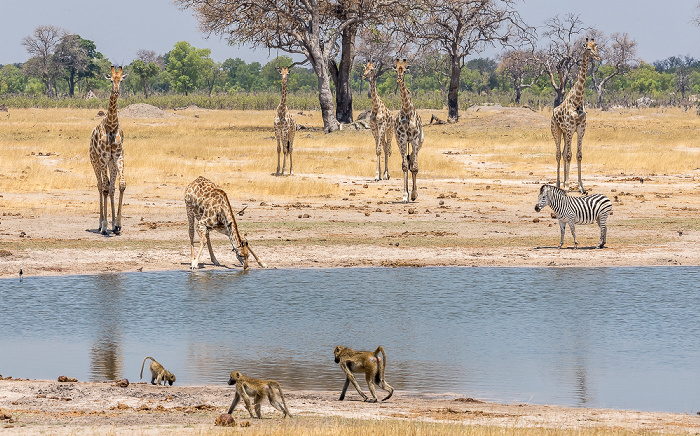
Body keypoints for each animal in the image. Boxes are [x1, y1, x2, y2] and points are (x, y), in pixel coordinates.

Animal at [548, 38, 600, 193]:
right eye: (588, 49)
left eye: (595, 47)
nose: (598, 57)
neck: (577, 100)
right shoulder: (571, 128)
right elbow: (569, 155)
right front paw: (566, 185)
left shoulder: (581, 128)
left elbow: (578, 155)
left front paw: (581, 186)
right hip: (557, 130)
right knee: (559, 154)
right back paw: (559, 184)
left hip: (566, 133)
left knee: (564, 154)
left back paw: (564, 183)